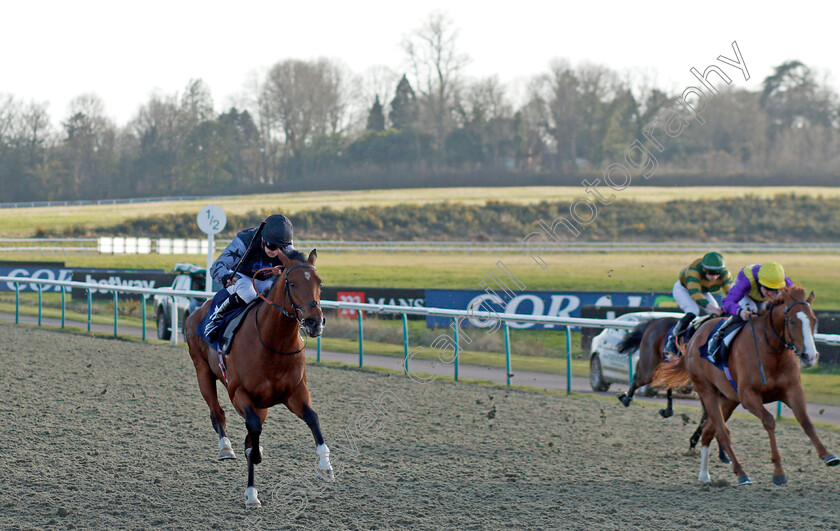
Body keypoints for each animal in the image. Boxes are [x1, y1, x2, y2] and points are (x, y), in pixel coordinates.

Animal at [184, 249, 332, 508]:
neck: (273, 343)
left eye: (319, 282)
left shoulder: (295, 392)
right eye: (292, 283)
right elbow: (251, 431)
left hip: (261, 404)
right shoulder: (239, 394)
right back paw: (227, 450)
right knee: (217, 412)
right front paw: (252, 472)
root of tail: (199, 310)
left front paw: (325, 466)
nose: (315, 322)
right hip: (203, 372)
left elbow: (313, 418)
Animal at [656, 286, 840, 486]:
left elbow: (806, 421)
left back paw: (704, 475)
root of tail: (694, 338)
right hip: (708, 392)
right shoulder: (748, 396)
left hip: (728, 399)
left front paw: (828, 455)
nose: (810, 356)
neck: (771, 351)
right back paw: (741, 473)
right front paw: (778, 472)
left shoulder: (793, 390)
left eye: (814, 321)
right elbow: (769, 421)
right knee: (722, 432)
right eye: (791, 321)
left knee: (708, 431)